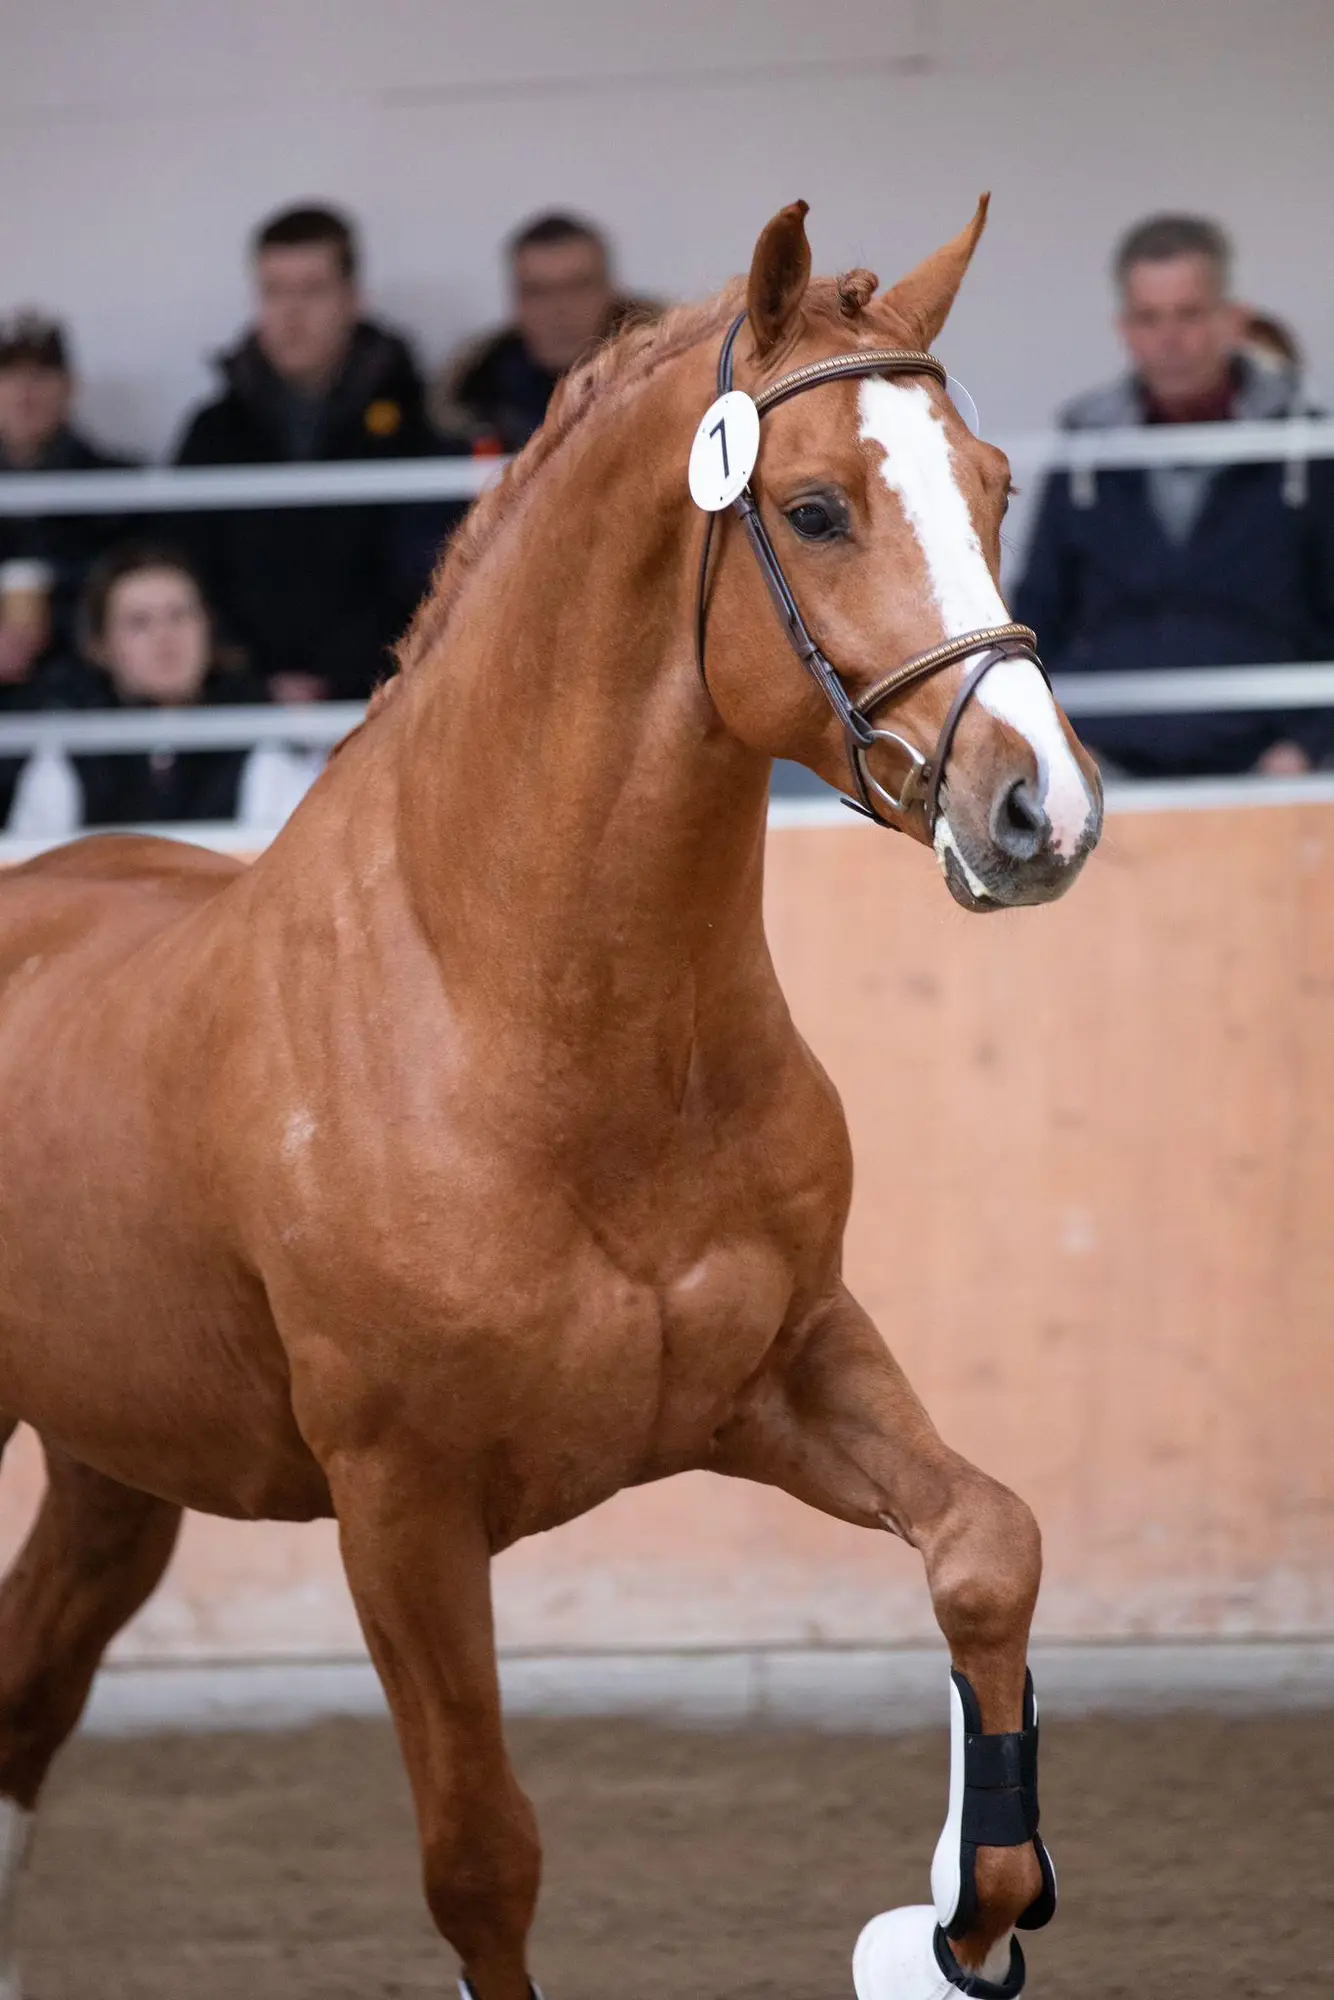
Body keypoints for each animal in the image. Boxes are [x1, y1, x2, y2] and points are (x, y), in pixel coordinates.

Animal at [0, 197, 1101, 2000]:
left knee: (27, 1703)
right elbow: (480, 1859)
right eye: (813, 507)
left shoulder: (779, 1373)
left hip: (115, 1463)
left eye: (995, 484)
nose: (1040, 813)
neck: (528, 1029)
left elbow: (984, 1546)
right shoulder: (402, 1510)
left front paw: (961, 1912)